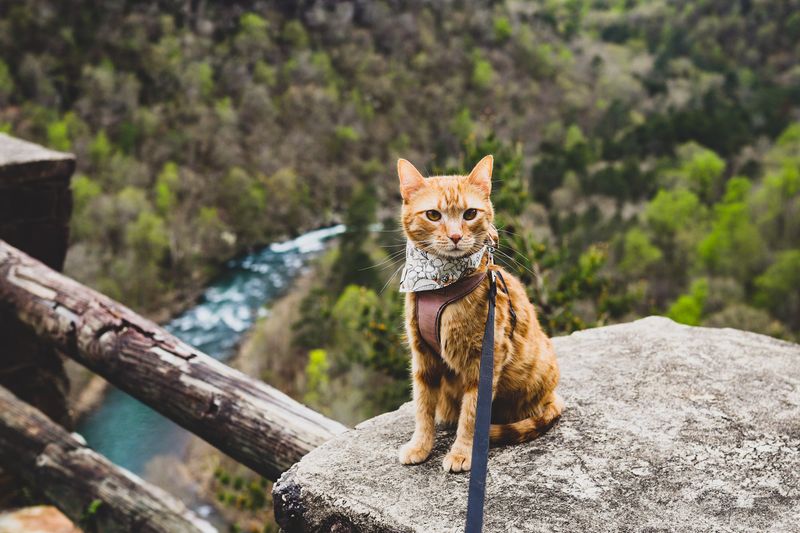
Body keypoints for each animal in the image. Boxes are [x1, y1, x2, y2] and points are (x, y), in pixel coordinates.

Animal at [396, 156, 564, 472]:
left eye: (470, 213)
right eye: (433, 215)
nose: (455, 236)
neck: (441, 287)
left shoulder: (483, 360)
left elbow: (472, 415)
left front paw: (462, 452)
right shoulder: (422, 355)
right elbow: (423, 407)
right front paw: (420, 445)